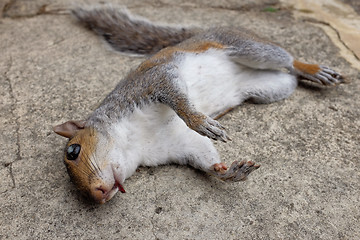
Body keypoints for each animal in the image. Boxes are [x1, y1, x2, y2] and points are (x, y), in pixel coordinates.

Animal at [52, 4, 344, 203]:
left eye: (73, 151)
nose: (97, 196)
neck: (132, 141)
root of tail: (204, 31)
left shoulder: (151, 82)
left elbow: (177, 97)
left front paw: (201, 121)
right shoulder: (178, 144)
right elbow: (203, 155)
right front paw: (227, 172)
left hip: (249, 48)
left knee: (288, 60)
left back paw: (313, 69)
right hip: (270, 88)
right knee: (290, 77)